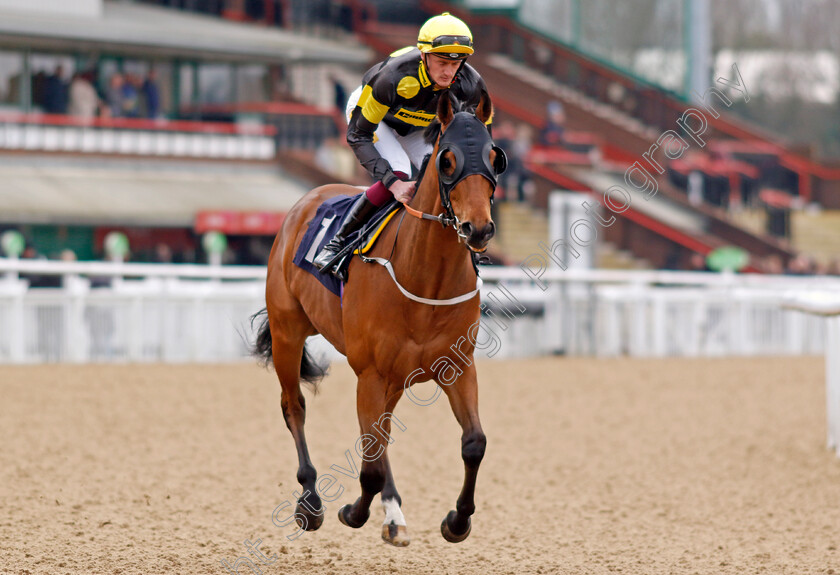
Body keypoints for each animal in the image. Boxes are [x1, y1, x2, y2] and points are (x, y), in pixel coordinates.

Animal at [253, 91, 506, 548]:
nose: (478, 229)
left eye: (496, 158)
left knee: (382, 431)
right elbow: (369, 461)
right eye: (447, 160)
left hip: (394, 377)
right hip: (287, 332)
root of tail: (306, 200)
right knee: (294, 406)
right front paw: (352, 512)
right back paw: (310, 500)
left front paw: (457, 521)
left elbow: (474, 443)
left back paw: (393, 514)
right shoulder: (370, 372)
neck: (426, 280)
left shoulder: (457, 368)